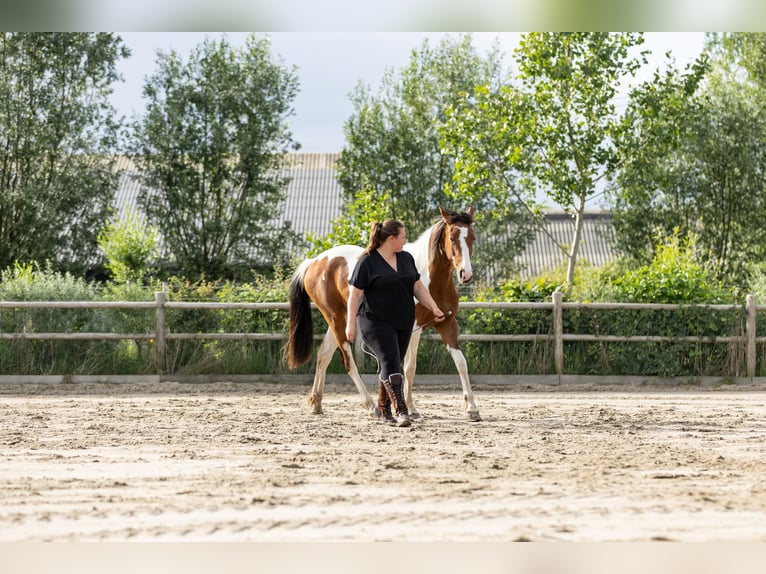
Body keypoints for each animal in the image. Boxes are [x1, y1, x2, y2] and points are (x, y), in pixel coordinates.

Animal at [288, 207, 480, 424]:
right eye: (452, 237)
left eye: (472, 237)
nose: (466, 274)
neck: (429, 278)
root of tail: (314, 262)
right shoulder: (413, 329)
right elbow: (409, 368)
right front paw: (411, 409)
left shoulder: (446, 323)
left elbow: (461, 363)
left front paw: (472, 409)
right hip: (337, 320)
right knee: (348, 362)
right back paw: (372, 406)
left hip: (340, 319)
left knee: (323, 354)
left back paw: (316, 404)